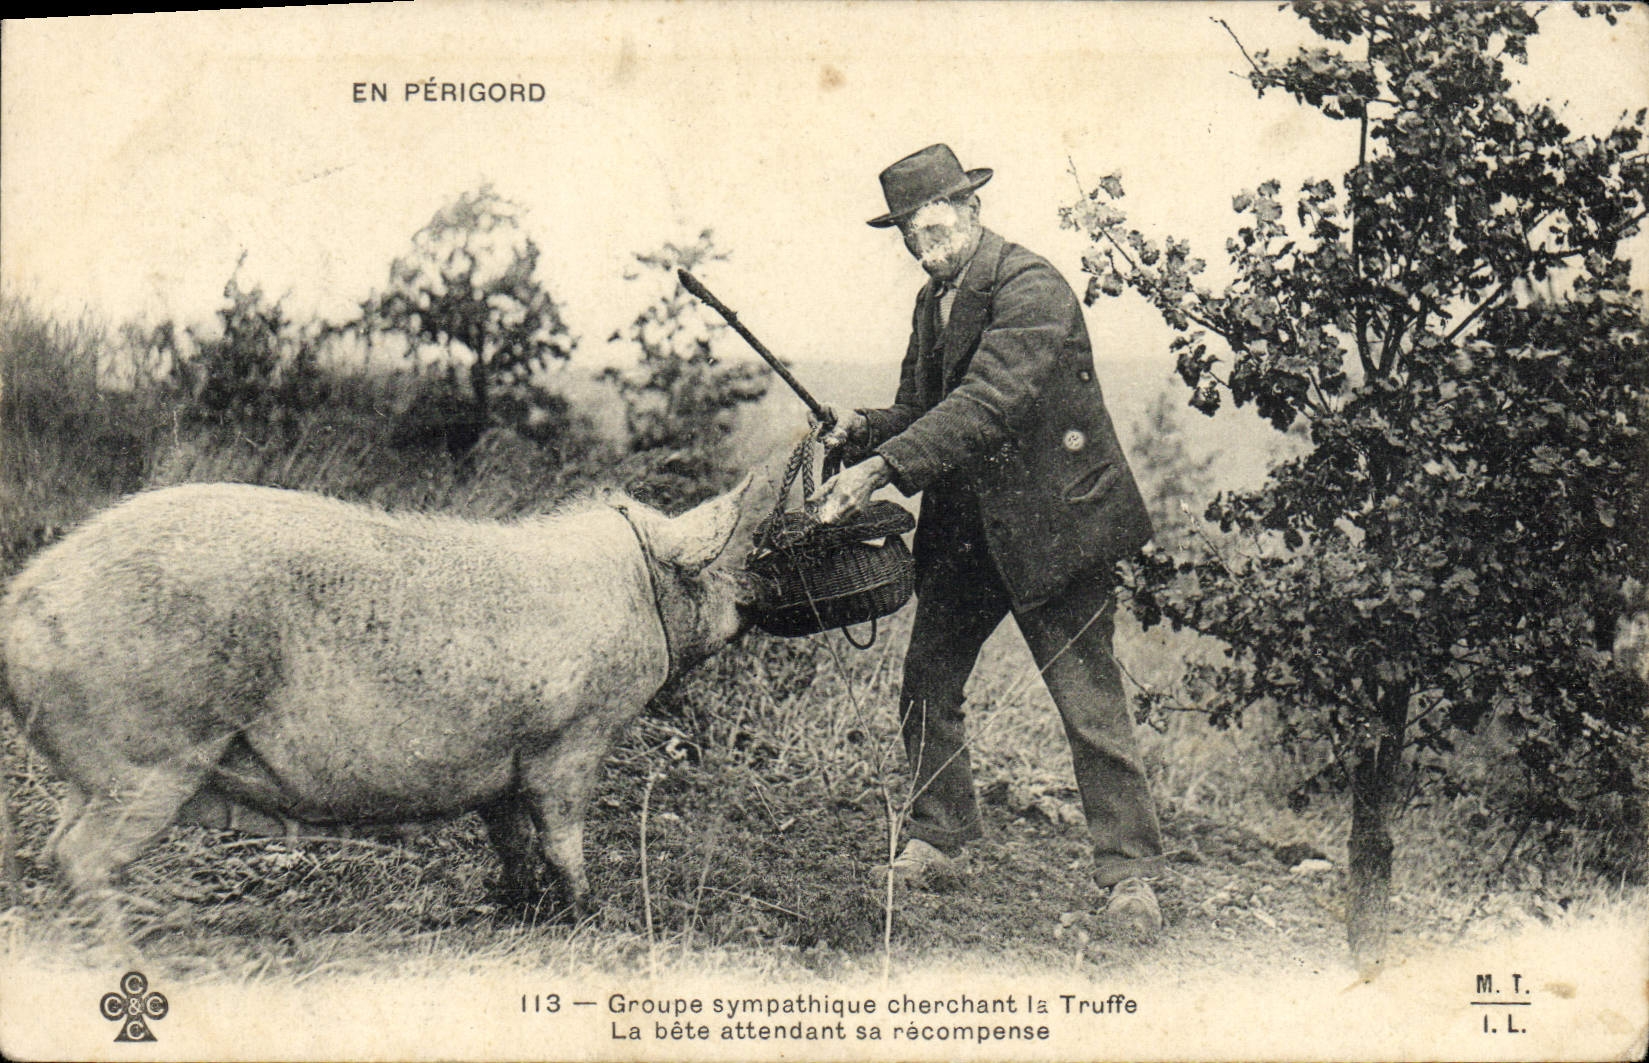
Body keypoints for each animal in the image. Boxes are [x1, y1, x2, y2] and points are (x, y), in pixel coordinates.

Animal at [0, 473, 771, 916]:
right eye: (709, 569)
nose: (750, 601)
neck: (633, 591)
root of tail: (21, 603)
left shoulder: (504, 758)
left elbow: (511, 836)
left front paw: (515, 907)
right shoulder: (571, 739)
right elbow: (561, 835)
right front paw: (590, 913)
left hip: (98, 769)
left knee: (56, 850)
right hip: (151, 755)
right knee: (81, 858)